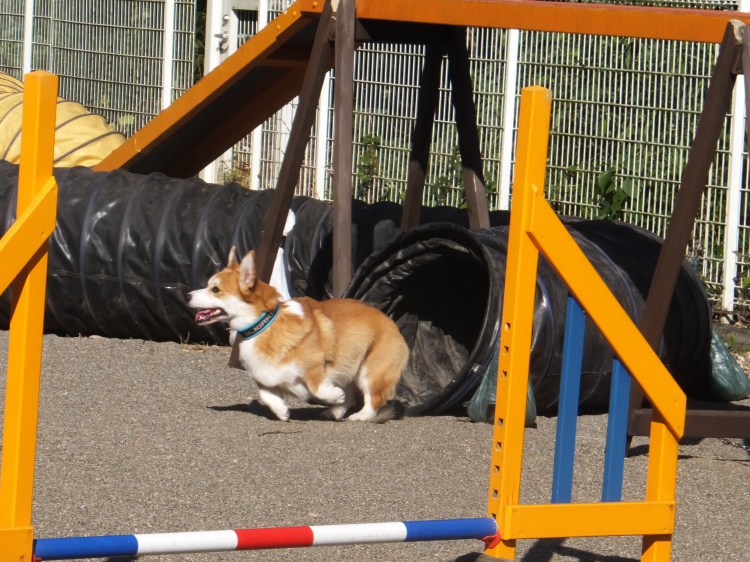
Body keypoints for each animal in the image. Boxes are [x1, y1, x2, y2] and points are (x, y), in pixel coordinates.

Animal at [186, 247, 409, 422]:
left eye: (215, 289)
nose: (187, 295)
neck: (263, 326)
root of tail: (389, 321)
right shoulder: (265, 376)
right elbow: (266, 395)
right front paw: (282, 412)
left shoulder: (315, 367)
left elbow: (318, 388)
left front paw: (333, 395)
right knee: (352, 396)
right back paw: (335, 411)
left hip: (370, 371)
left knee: (373, 399)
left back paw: (358, 415)